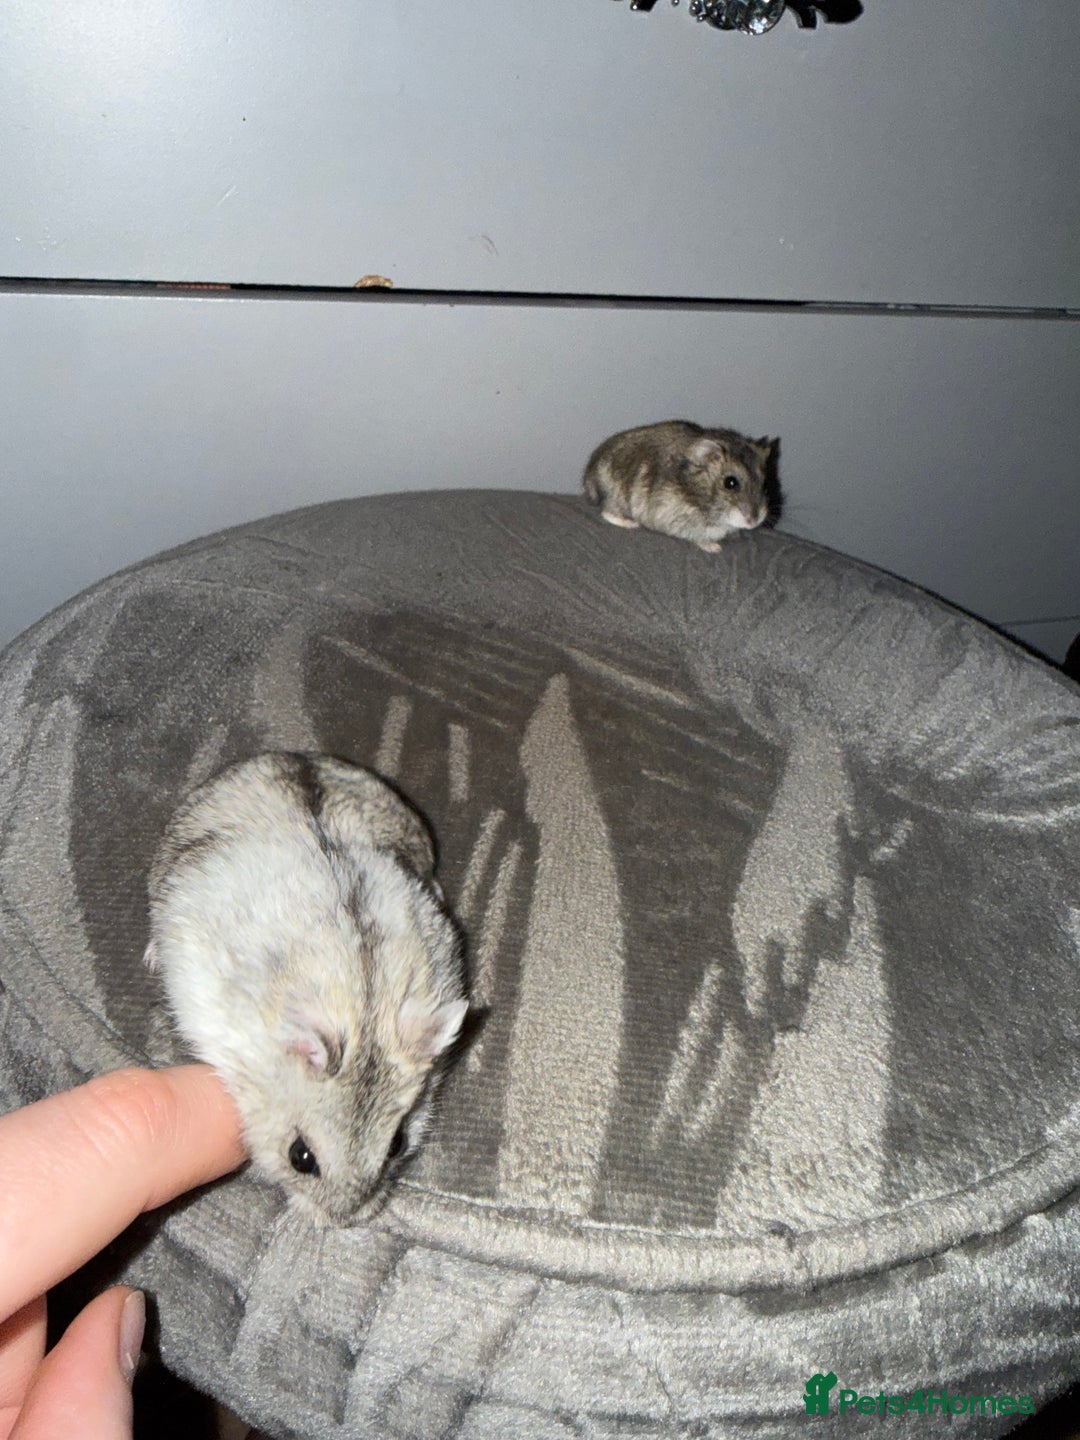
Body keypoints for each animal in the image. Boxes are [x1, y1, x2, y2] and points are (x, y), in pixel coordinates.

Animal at [583, 420, 775, 551]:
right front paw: (714, 548)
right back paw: (631, 524)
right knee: (607, 512)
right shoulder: (678, 520)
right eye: (730, 483)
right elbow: (697, 536)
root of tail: (588, 476)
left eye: (765, 484)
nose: (753, 521)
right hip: (616, 497)